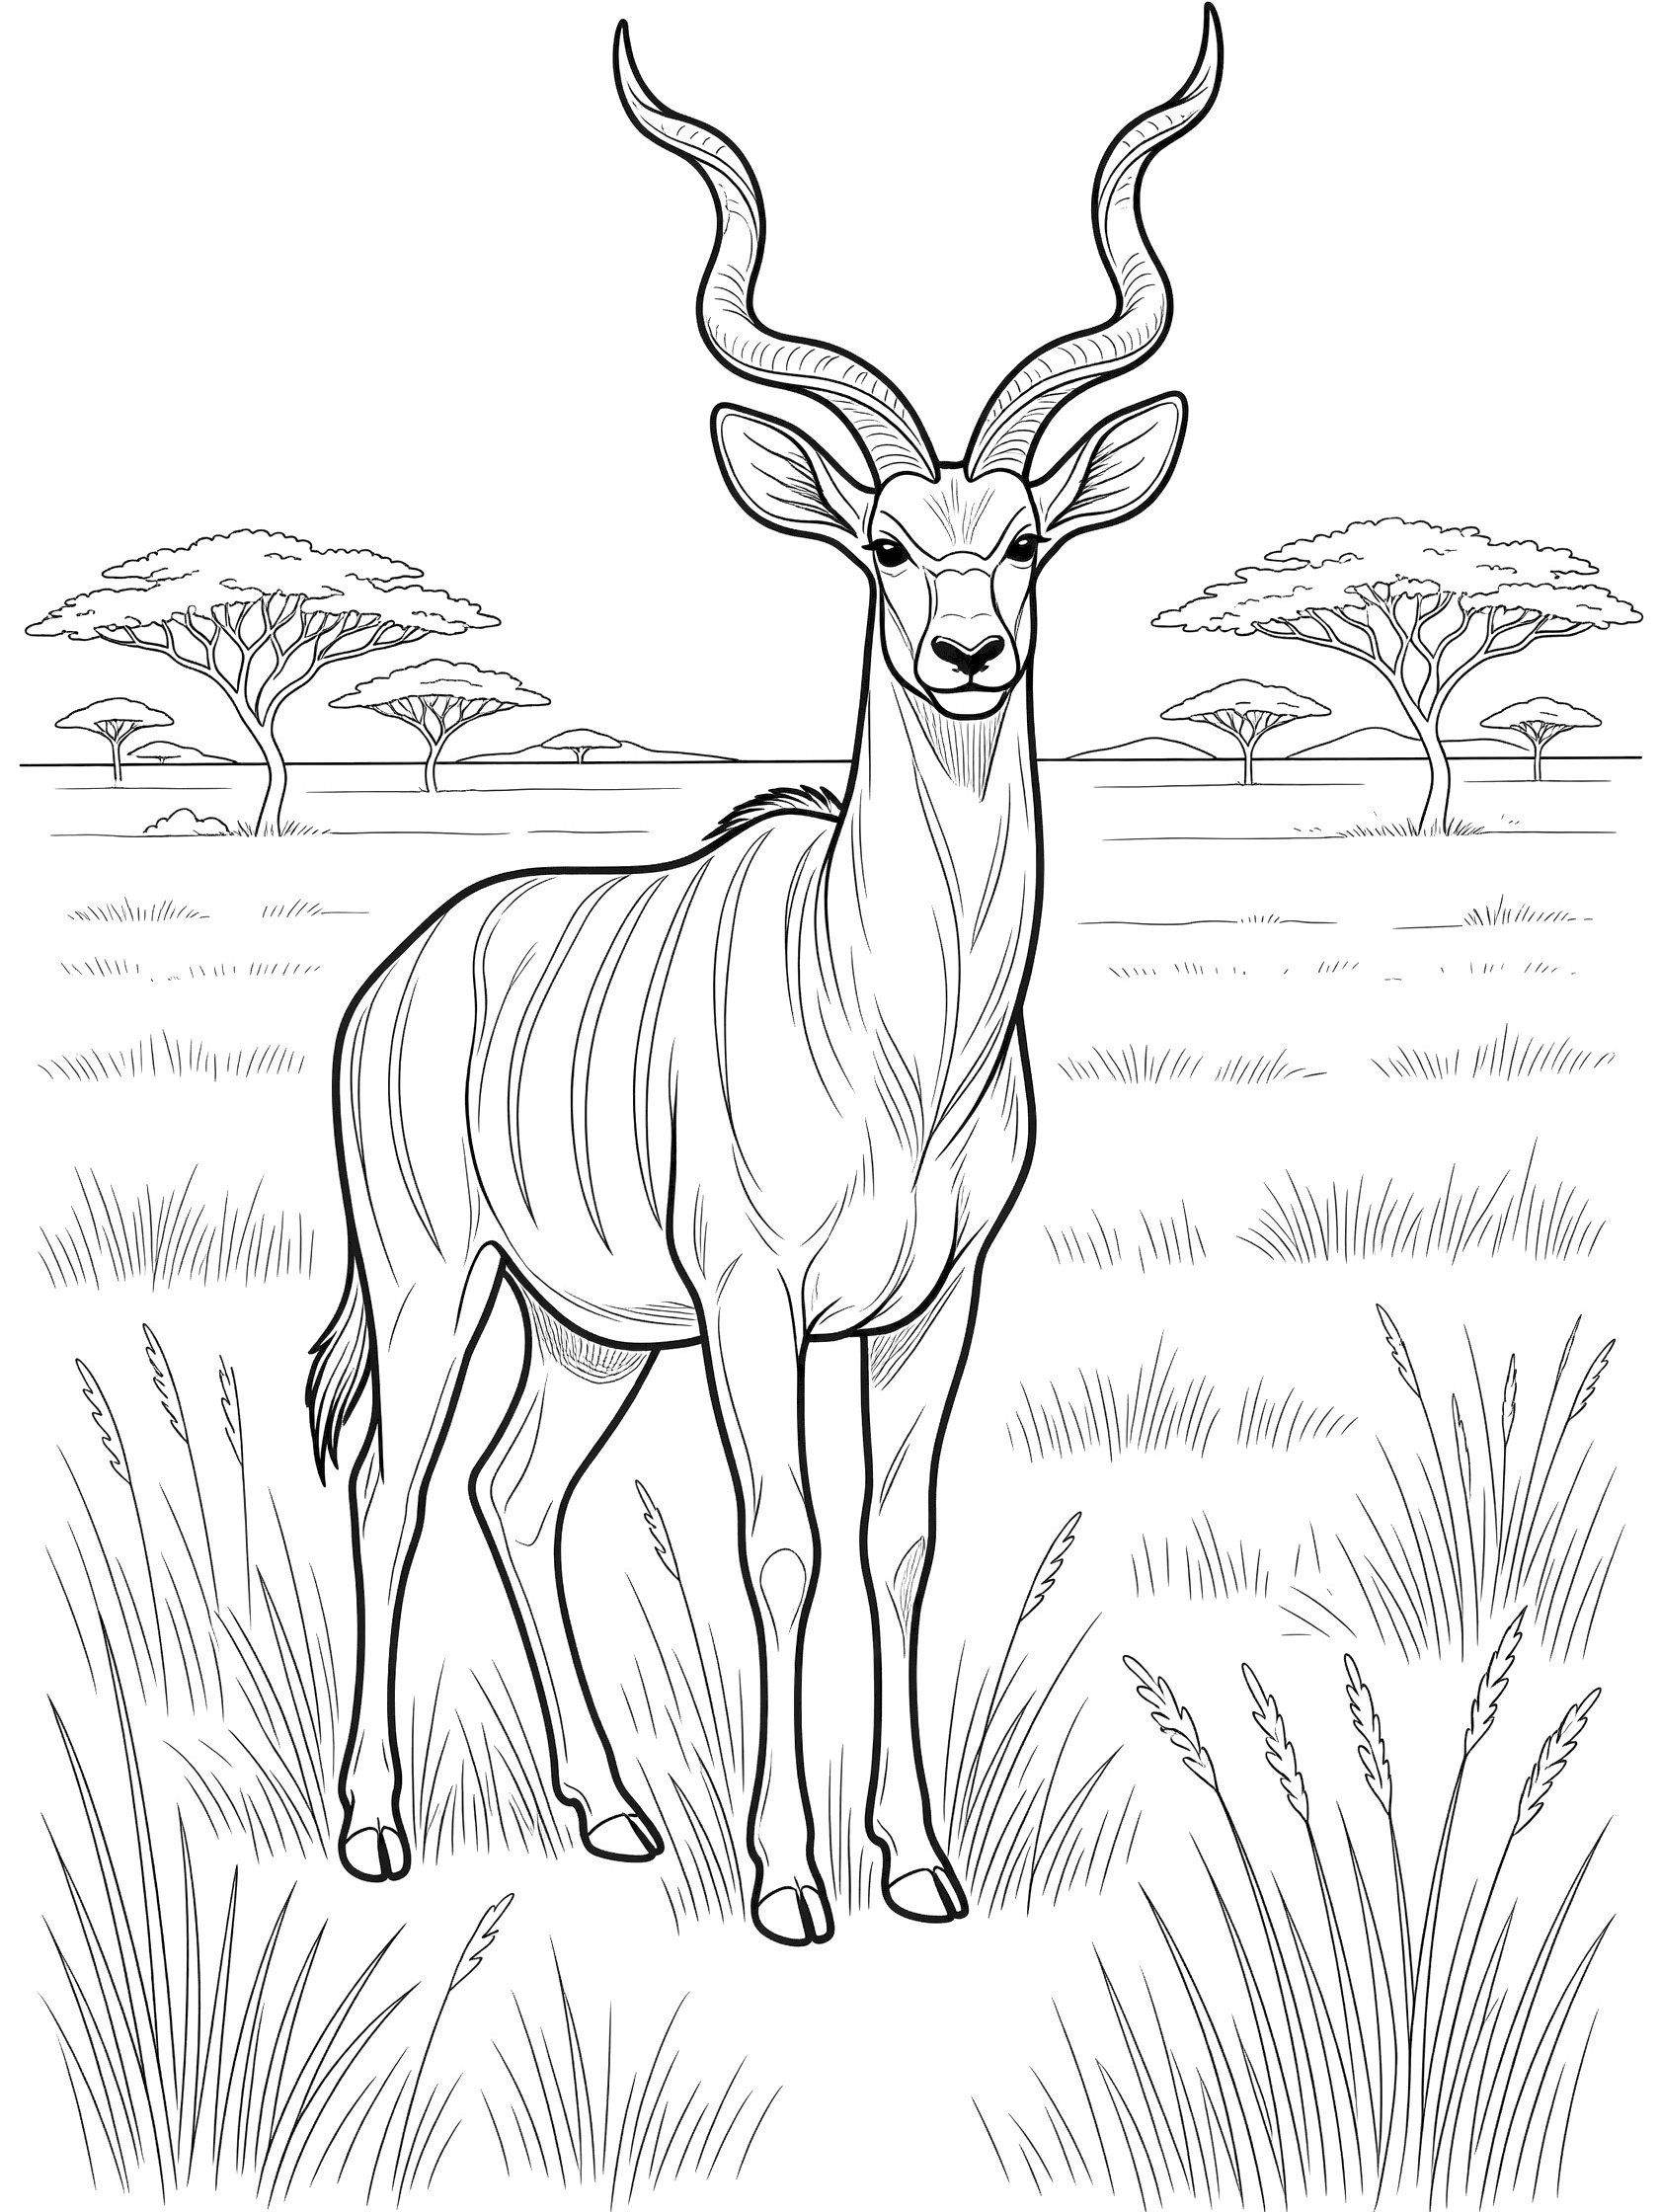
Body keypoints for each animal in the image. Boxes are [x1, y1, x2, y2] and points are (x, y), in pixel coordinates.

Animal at [308, 11, 1222, 1944]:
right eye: (882, 542)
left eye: (1026, 539)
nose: (969, 650)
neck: (893, 1027)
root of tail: (396, 983)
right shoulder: (753, 1303)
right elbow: (782, 1542)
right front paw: (794, 1882)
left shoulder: (927, 1309)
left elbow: (899, 1540)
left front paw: (924, 1866)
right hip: (437, 1281)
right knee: (392, 1486)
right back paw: (374, 1828)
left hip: (585, 1333)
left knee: (514, 1491)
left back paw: (612, 1815)